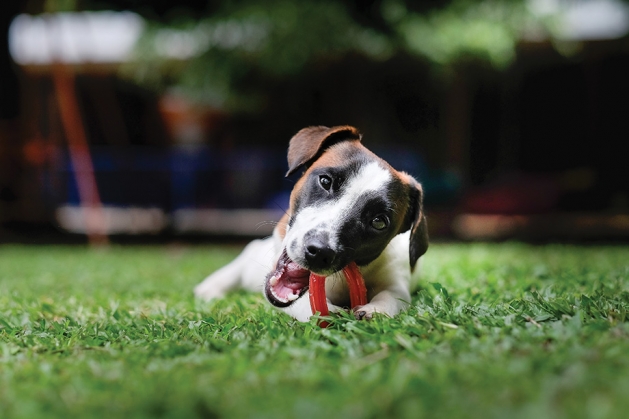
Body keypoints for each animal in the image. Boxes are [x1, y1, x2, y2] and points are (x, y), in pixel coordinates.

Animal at [194, 124, 430, 322]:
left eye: (379, 222)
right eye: (325, 181)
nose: (319, 252)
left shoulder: (397, 278)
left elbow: (394, 296)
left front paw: (377, 310)